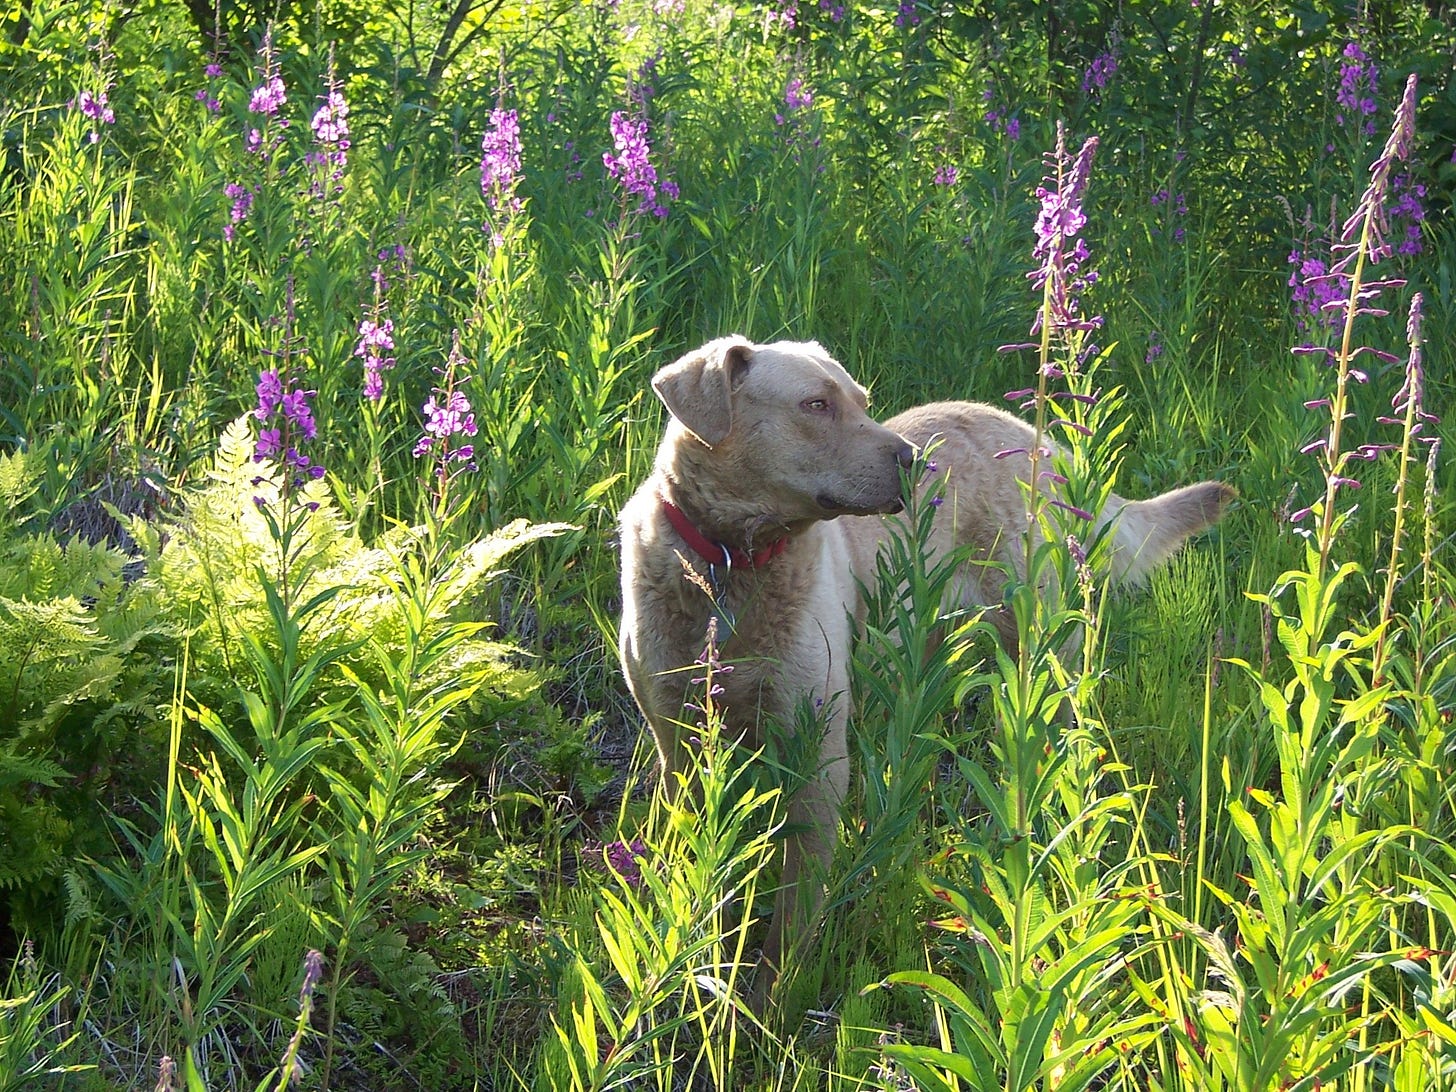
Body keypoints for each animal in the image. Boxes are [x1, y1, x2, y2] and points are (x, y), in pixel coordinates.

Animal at [614, 337, 1228, 990]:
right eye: (816, 405)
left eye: (863, 402)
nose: (917, 462)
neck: (732, 565)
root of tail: (1043, 442)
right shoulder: (676, 740)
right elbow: (702, 859)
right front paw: (699, 951)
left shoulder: (819, 753)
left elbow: (796, 903)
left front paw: (773, 993)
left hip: (1037, 651)